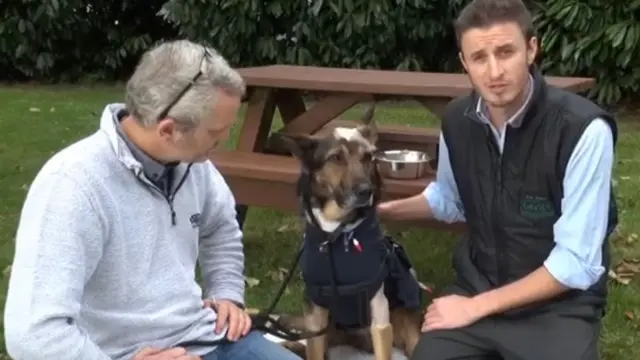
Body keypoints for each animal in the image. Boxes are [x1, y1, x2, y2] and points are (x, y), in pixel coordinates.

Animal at [276, 105, 424, 360]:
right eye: (335, 158)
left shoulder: (379, 314)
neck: (336, 231)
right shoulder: (316, 313)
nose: (367, 191)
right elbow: (315, 351)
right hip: (330, 326)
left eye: (368, 157)